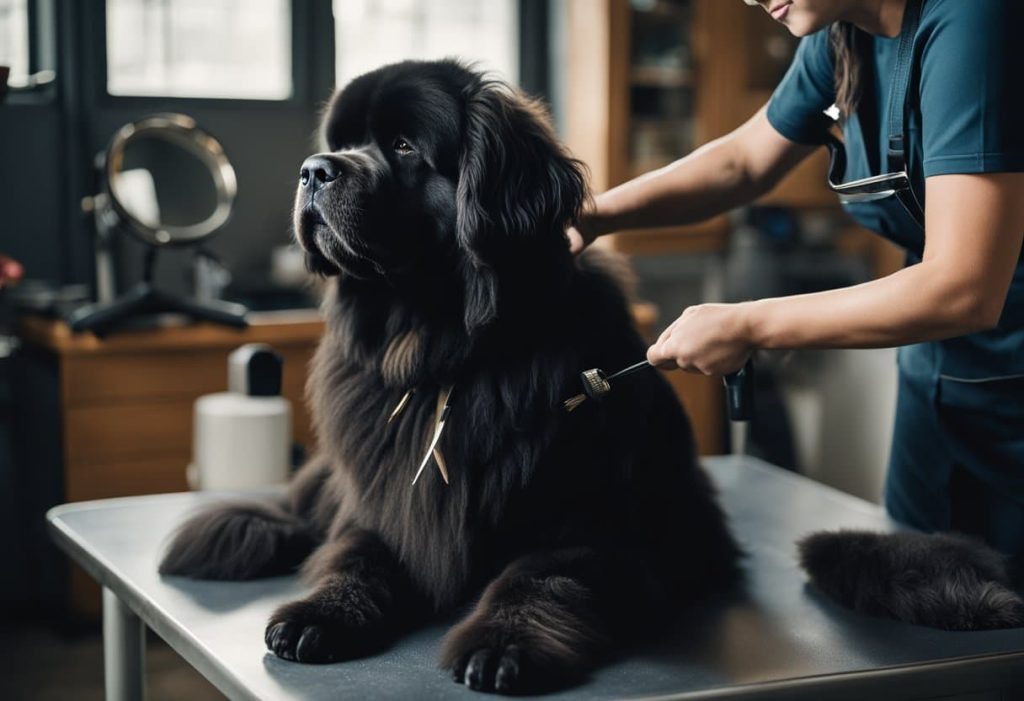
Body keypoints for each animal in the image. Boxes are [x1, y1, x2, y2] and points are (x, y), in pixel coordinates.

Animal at [161, 57, 1024, 691]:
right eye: (341, 140)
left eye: (405, 148)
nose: (315, 170)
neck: (450, 353)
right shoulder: (384, 502)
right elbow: (352, 553)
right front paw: (317, 612)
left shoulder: (588, 522)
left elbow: (541, 579)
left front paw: (503, 645)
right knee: (306, 507)